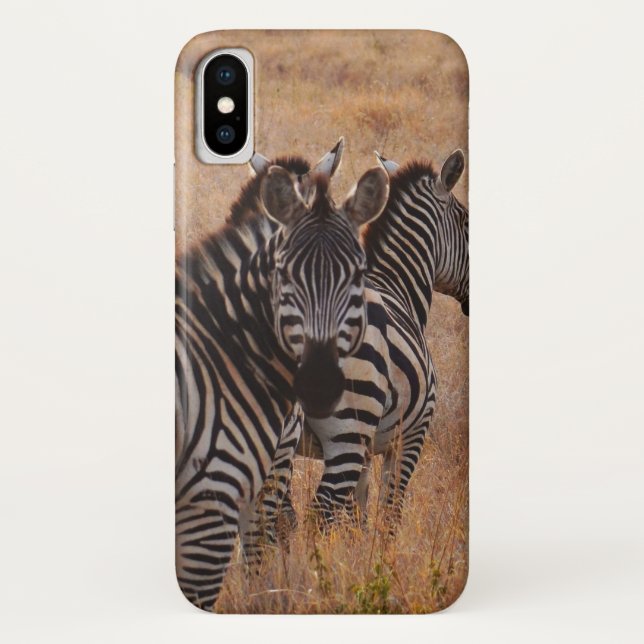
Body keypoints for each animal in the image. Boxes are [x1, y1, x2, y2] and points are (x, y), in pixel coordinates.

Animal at [175, 142, 389, 610]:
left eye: (358, 276)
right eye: (285, 273)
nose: (319, 386)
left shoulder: (274, 452)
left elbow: (271, 530)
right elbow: (266, 534)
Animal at [271, 147, 469, 528]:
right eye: (467, 222)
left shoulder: (365, 450)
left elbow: (357, 517)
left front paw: (357, 544)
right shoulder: (409, 437)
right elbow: (390, 512)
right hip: (347, 430)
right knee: (318, 512)